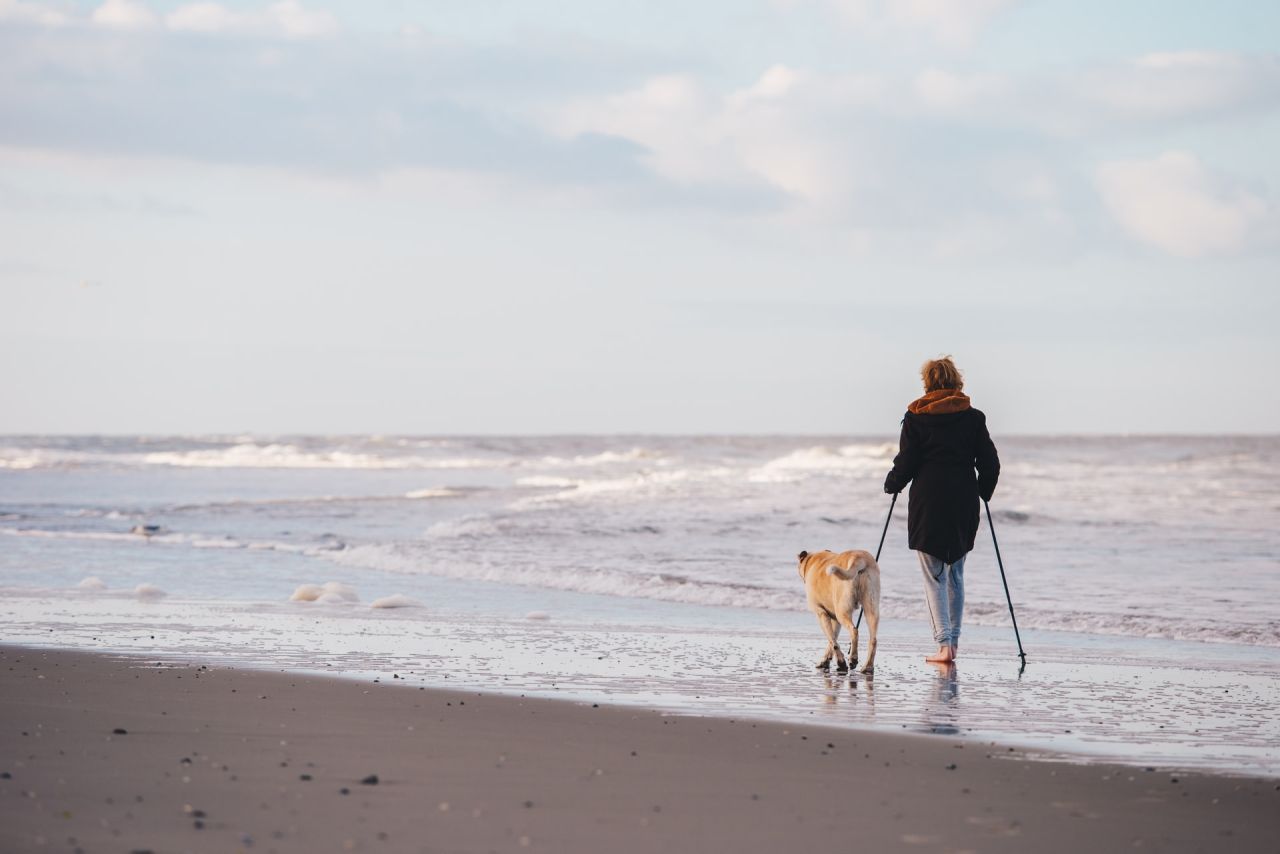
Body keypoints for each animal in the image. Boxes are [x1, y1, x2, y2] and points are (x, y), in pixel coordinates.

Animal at [793, 547, 875, 676]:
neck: (812, 560)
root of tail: (858, 558)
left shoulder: (821, 614)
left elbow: (832, 640)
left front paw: (841, 662)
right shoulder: (835, 620)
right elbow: (833, 639)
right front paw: (826, 661)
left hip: (842, 611)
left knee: (854, 630)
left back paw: (853, 658)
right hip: (871, 608)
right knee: (873, 639)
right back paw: (868, 667)